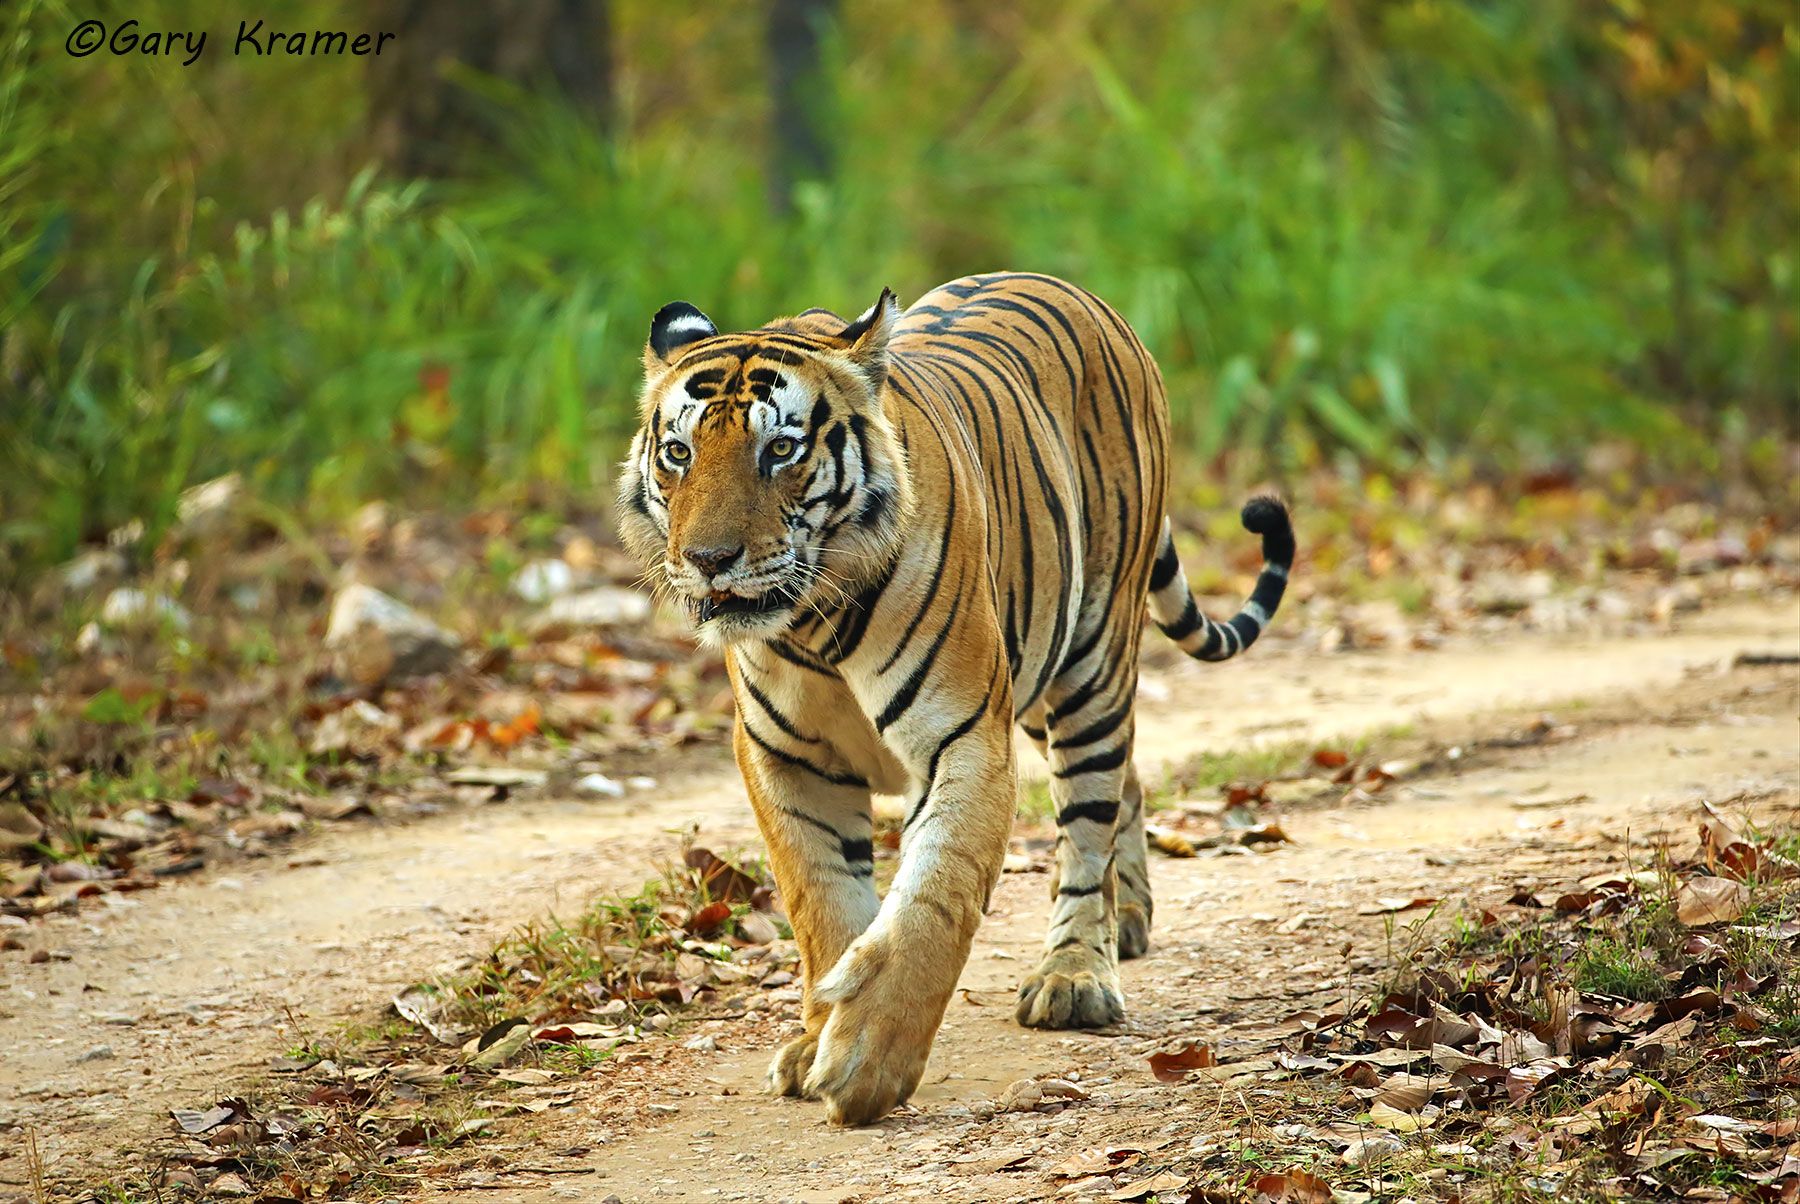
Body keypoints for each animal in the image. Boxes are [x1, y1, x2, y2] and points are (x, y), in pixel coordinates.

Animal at [617, 271, 1294, 1125]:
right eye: (679, 453)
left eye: (780, 450)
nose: (708, 559)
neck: (812, 619)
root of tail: (1077, 290)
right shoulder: (784, 757)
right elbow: (822, 904)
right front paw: (816, 1039)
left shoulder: (964, 735)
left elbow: (933, 899)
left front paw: (867, 1061)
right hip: (1036, 683)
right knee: (1128, 782)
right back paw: (1129, 919)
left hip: (1091, 660)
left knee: (1090, 814)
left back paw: (1077, 974)